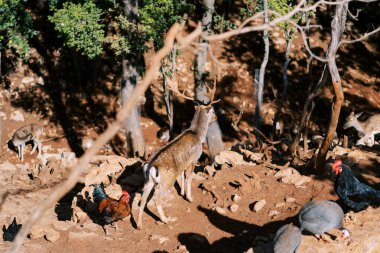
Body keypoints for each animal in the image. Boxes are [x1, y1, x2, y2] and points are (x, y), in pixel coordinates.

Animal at [137, 81, 218, 229]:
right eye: (213, 111)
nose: (216, 117)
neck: (198, 135)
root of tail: (150, 166)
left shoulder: (183, 164)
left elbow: (182, 176)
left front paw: (181, 193)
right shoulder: (193, 159)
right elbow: (189, 178)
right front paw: (189, 197)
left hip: (148, 181)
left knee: (142, 200)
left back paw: (139, 225)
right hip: (166, 181)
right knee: (157, 199)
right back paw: (165, 219)